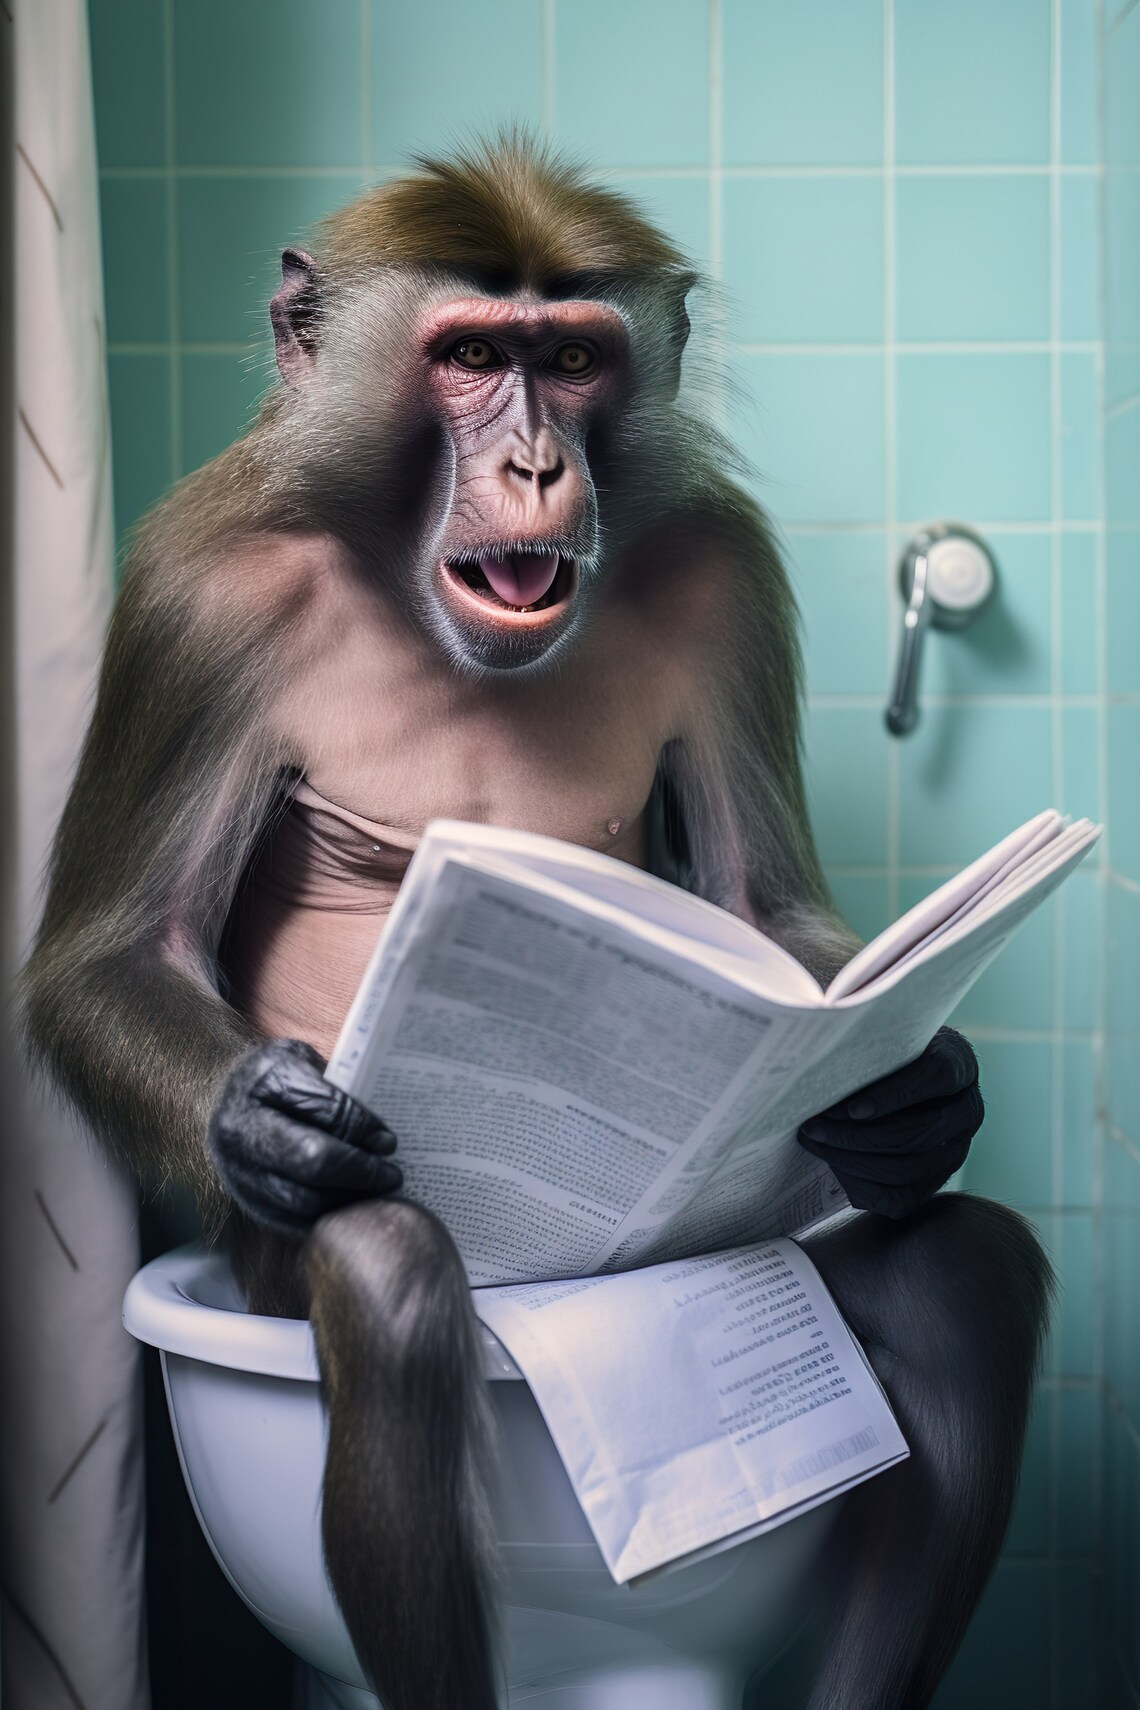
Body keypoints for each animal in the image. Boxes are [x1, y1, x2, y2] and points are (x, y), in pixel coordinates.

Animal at [22, 137, 1050, 1710]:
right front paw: (269, 1122)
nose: (535, 464)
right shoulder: (201, 594)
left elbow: (761, 903)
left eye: (569, 358)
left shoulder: (722, 570)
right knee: (391, 1291)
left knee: (956, 1278)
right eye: (468, 357)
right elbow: (107, 951)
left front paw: (913, 1092)